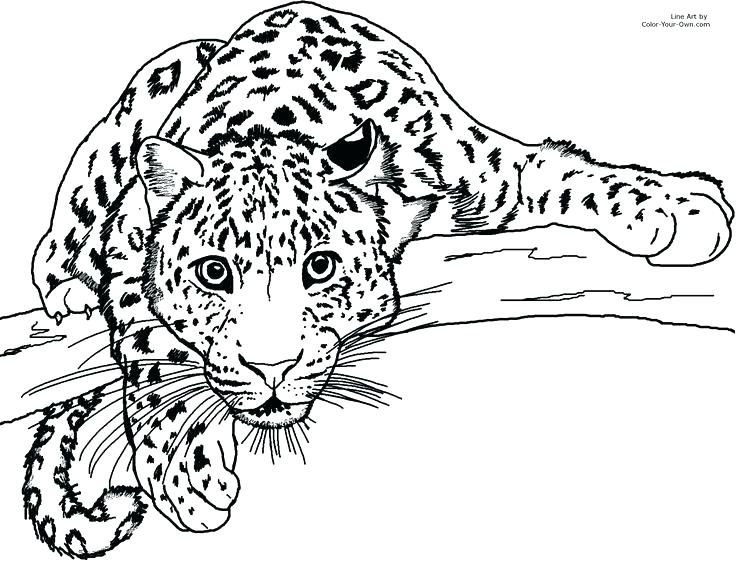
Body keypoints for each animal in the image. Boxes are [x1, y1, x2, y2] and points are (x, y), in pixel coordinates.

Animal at [23, 1, 733, 558]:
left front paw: (679, 207)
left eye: (319, 267)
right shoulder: (126, 239)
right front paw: (187, 471)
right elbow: (149, 353)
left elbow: (569, 175)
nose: (272, 369)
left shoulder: (488, 169)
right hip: (143, 94)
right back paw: (62, 281)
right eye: (214, 273)